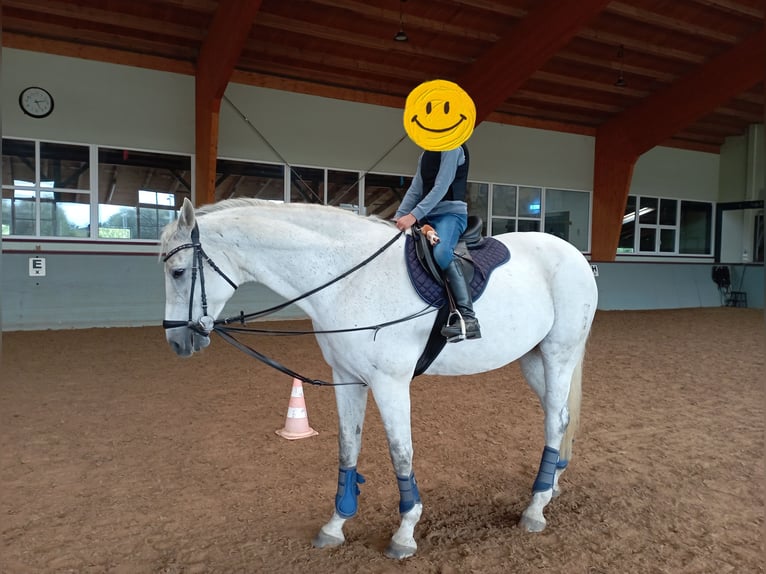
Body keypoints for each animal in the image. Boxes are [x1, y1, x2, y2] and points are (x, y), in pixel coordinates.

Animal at [160, 197, 600, 560]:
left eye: (179, 272)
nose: (177, 341)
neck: (347, 278)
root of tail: (574, 256)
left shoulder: (390, 383)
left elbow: (400, 453)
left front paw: (404, 533)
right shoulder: (347, 378)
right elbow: (347, 449)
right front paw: (336, 525)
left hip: (559, 354)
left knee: (554, 420)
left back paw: (535, 508)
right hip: (533, 359)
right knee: (561, 418)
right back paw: (551, 486)